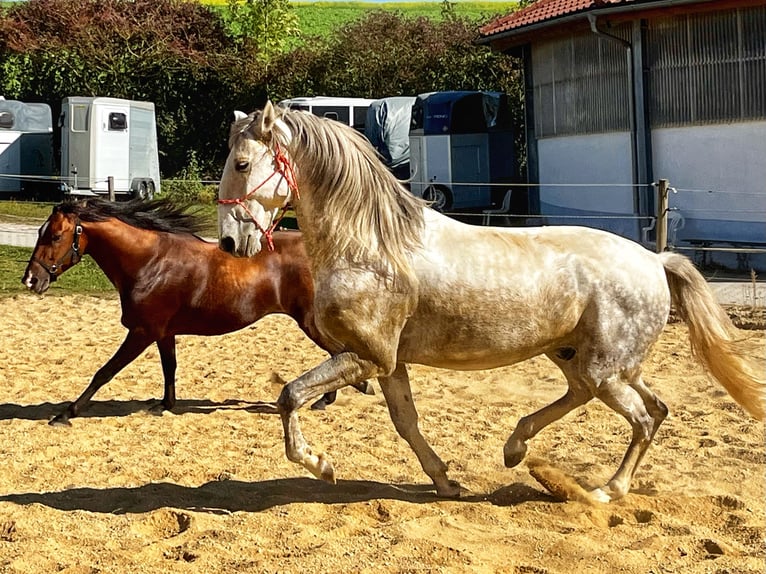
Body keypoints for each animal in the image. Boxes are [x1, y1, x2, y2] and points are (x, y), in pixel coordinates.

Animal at [22, 199, 370, 428]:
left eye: (55, 235)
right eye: (40, 232)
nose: (31, 280)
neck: (149, 262)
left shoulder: (142, 333)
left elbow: (104, 372)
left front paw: (65, 414)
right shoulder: (163, 333)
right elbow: (169, 368)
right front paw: (164, 405)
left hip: (311, 322)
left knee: (342, 353)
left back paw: (335, 395)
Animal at [218, 102, 766, 504]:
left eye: (242, 163)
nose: (228, 242)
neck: (371, 246)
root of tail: (655, 260)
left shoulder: (366, 357)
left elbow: (290, 395)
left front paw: (322, 466)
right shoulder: (388, 363)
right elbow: (405, 423)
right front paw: (445, 482)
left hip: (605, 369)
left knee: (642, 417)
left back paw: (605, 491)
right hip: (584, 359)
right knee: (640, 405)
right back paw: (515, 448)